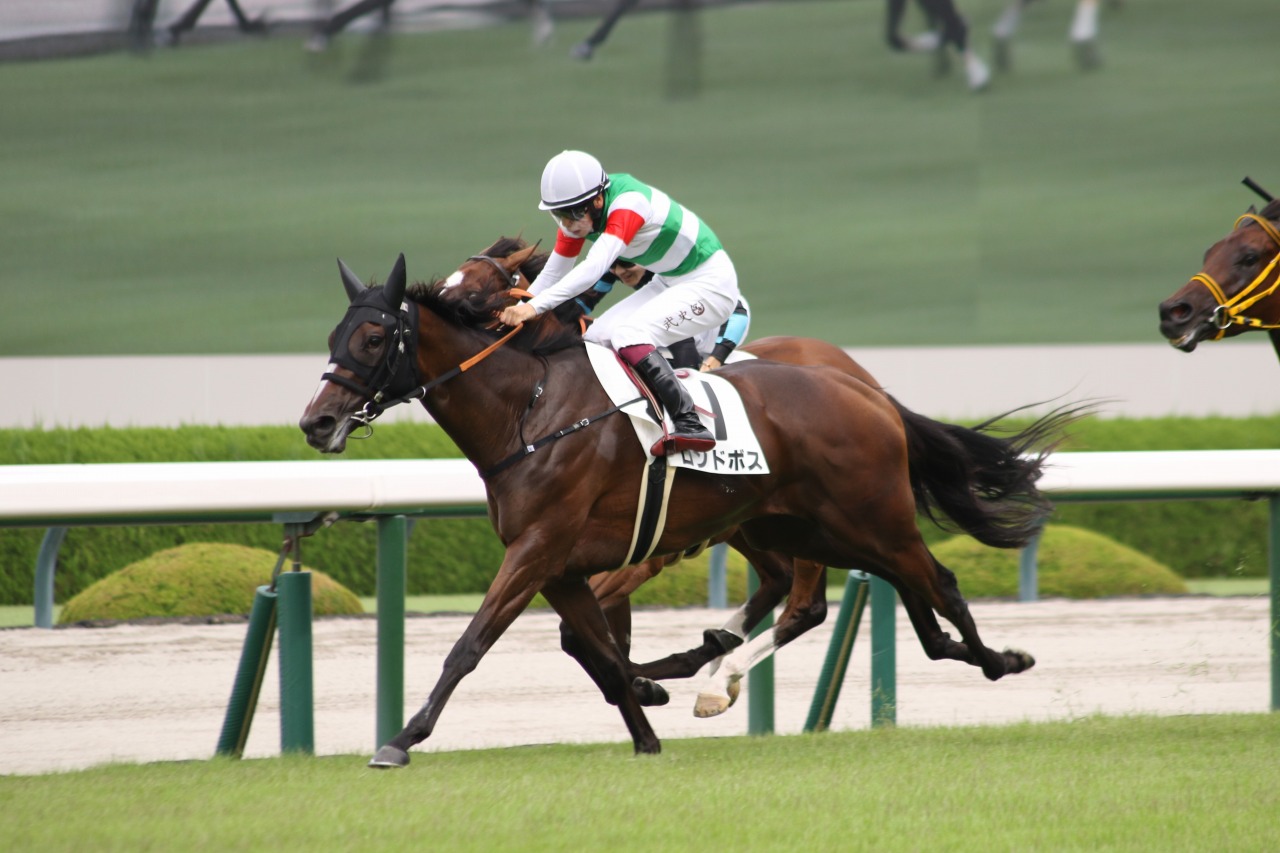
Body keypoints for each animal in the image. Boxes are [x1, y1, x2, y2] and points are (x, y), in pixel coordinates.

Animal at [299, 243, 1080, 767]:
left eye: (374, 335)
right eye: (334, 335)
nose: (316, 421)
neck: (532, 409)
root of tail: (867, 391)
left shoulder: (544, 550)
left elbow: (473, 644)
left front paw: (401, 739)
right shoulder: (562, 565)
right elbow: (594, 646)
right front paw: (646, 724)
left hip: (864, 519)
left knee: (918, 584)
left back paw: (997, 659)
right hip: (810, 527)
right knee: (886, 596)